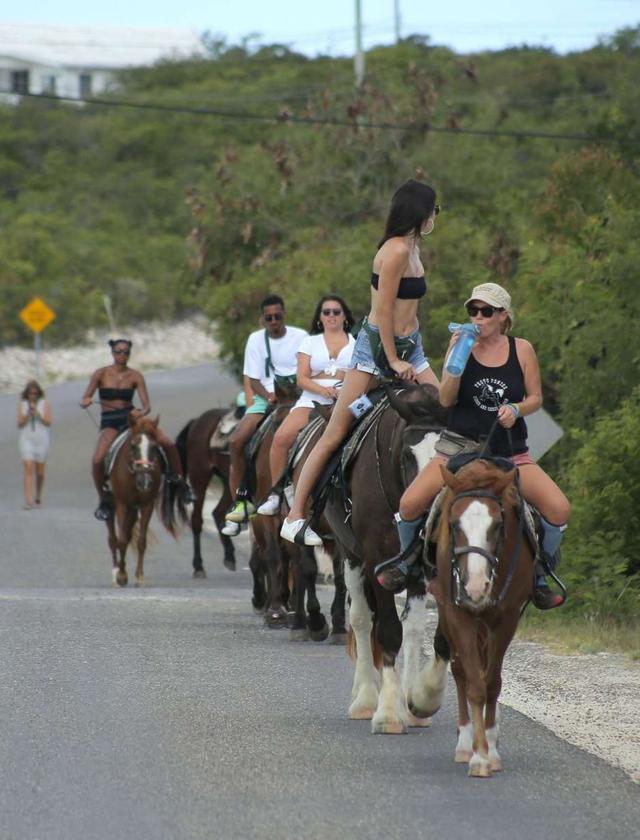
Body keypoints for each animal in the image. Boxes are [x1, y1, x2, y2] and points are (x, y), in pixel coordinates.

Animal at [106, 416, 186, 588]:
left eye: (154, 447)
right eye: (133, 445)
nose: (145, 481)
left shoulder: (147, 504)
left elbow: (141, 541)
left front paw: (139, 576)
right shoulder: (122, 504)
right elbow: (122, 540)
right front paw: (121, 575)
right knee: (113, 537)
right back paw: (116, 572)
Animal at [175, 408, 240, 576]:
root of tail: (197, 420)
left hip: (227, 481)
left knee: (218, 512)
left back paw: (229, 556)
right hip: (200, 477)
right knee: (197, 520)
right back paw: (198, 566)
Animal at [416, 456, 528, 776]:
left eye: (498, 525)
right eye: (454, 525)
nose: (476, 587)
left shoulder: (506, 619)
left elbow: (491, 682)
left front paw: (490, 748)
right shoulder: (458, 613)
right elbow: (474, 684)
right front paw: (478, 755)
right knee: (460, 671)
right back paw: (465, 743)